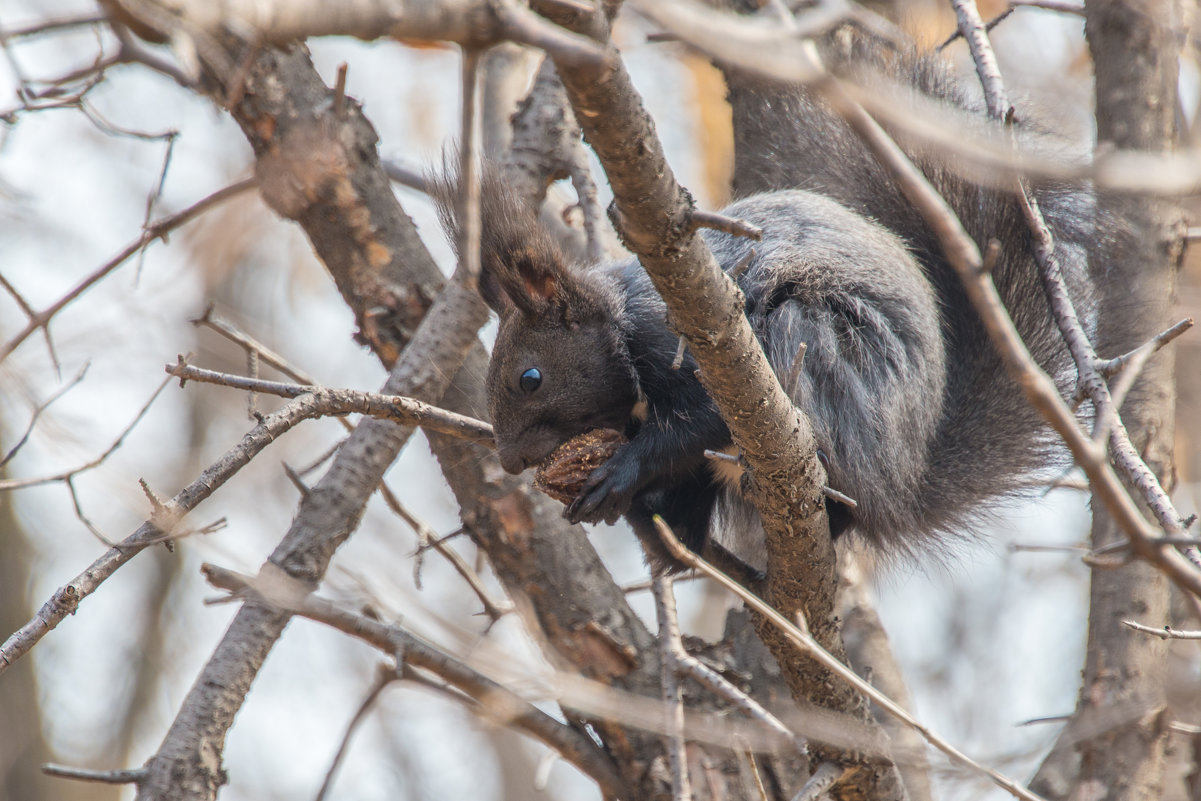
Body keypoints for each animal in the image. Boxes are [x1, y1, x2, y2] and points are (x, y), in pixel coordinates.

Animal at [434, 32, 1104, 569]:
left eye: (530, 377)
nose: (511, 463)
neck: (620, 322)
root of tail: (902, 480)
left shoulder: (676, 342)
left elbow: (700, 420)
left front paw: (621, 471)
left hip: (817, 346)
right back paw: (671, 534)